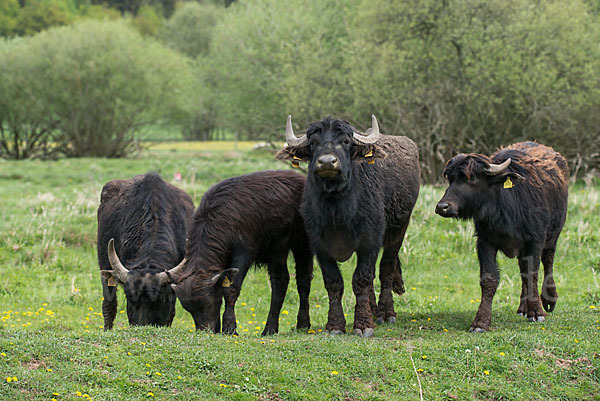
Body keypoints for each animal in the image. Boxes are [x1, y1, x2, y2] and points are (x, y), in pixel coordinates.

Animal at [166, 169, 312, 334]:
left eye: (208, 303)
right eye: (189, 310)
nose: (207, 330)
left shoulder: (244, 255)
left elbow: (231, 289)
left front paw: (230, 327)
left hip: (303, 245)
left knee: (303, 280)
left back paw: (303, 324)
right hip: (276, 250)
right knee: (280, 282)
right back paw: (269, 328)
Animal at [276, 116, 420, 338]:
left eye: (345, 141)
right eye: (313, 142)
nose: (327, 162)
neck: (338, 211)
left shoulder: (369, 242)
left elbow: (361, 280)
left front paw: (363, 324)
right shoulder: (319, 246)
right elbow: (334, 282)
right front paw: (335, 325)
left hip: (398, 230)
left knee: (385, 268)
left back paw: (385, 313)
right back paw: (373, 309)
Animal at [436, 141, 568, 332]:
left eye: (471, 178)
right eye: (450, 178)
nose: (442, 207)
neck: (504, 209)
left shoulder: (535, 241)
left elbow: (532, 274)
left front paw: (537, 312)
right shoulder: (485, 242)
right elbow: (489, 279)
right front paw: (481, 322)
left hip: (553, 235)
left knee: (547, 262)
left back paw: (549, 299)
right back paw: (523, 308)